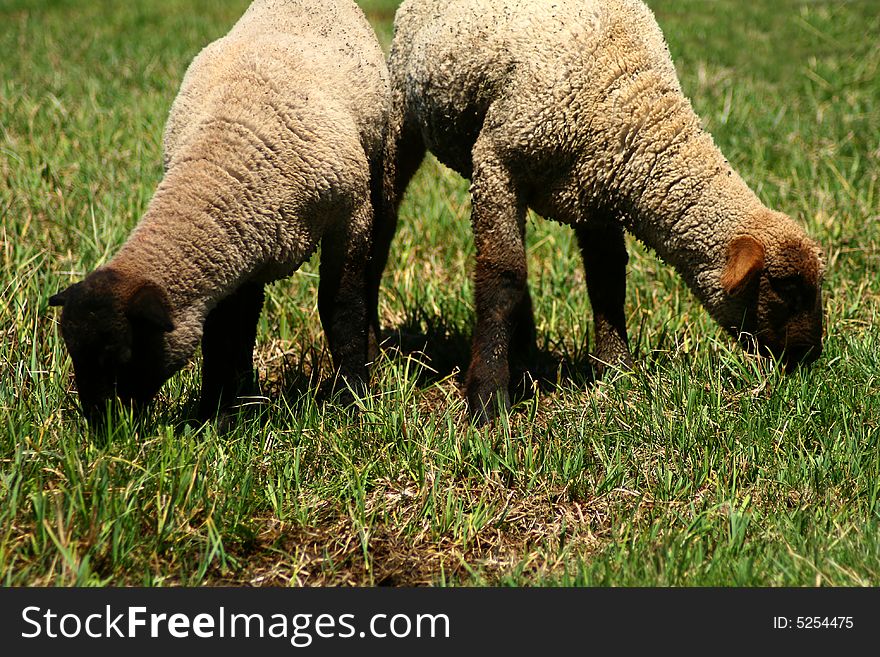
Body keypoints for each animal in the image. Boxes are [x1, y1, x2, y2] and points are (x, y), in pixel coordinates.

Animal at [49, 1, 388, 426]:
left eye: (121, 355)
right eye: (73, 354)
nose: (102, 428)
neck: (222, 158)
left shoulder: (350, 213)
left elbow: (341, 308)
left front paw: (353, 398)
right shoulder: (237, 246)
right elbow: (224, 333)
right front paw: (218, 411)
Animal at [372, 0, 824, 426]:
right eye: (786, 288)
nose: (811, 356)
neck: (627, 95)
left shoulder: (598, 194)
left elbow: (607, 283)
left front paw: (619, 373)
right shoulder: (498, 161)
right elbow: (502, 278)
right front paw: (487, 400)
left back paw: (526, 348)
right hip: (405, 112)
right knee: (388, 222)